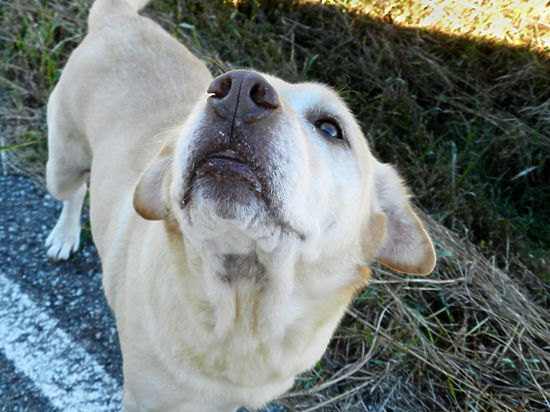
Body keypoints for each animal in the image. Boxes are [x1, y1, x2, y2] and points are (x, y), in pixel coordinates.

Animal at [45, 1, 438, 410]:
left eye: (331, 128)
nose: (237, 91)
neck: (244, 310)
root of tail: (118, 19)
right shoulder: (145, 399)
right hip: (62, 165)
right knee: (75, 191)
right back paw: (65, 235)